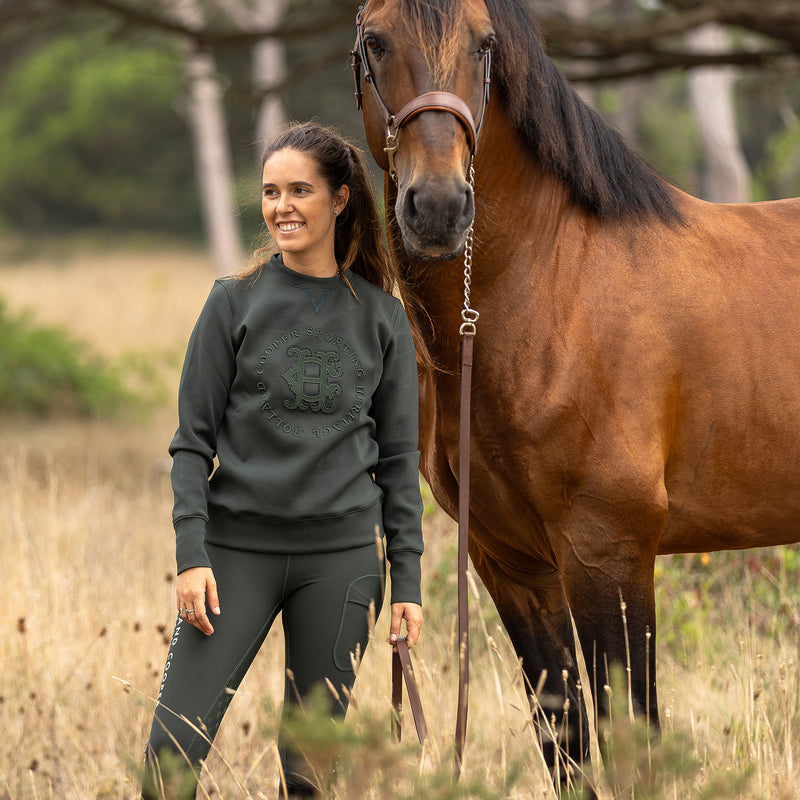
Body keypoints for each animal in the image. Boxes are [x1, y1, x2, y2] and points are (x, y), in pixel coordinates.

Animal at [351, 0, 800, 791]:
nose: (436, 207)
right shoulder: (514, 566)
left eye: (485, 43)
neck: (555, 289)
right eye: (375, 39)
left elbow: (636, 745)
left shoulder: (607, 553)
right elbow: (566, 742)